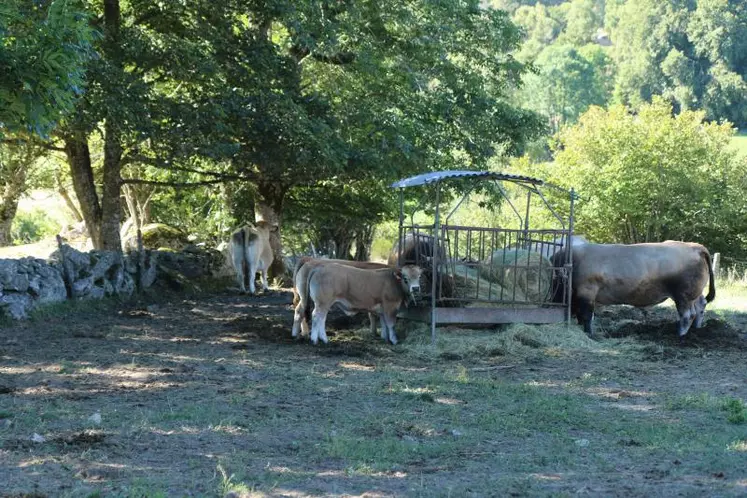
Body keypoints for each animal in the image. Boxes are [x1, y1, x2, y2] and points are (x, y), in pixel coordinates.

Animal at [552, 241, 716, 338]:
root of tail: (695, 246)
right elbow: (582, 314)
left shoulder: (587, 291)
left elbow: (586, 315)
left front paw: (588, 333)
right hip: (694, 292)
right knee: (700, 305)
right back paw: (696, 329)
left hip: (683, 294)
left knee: (688, 314)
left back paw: (680, 335)